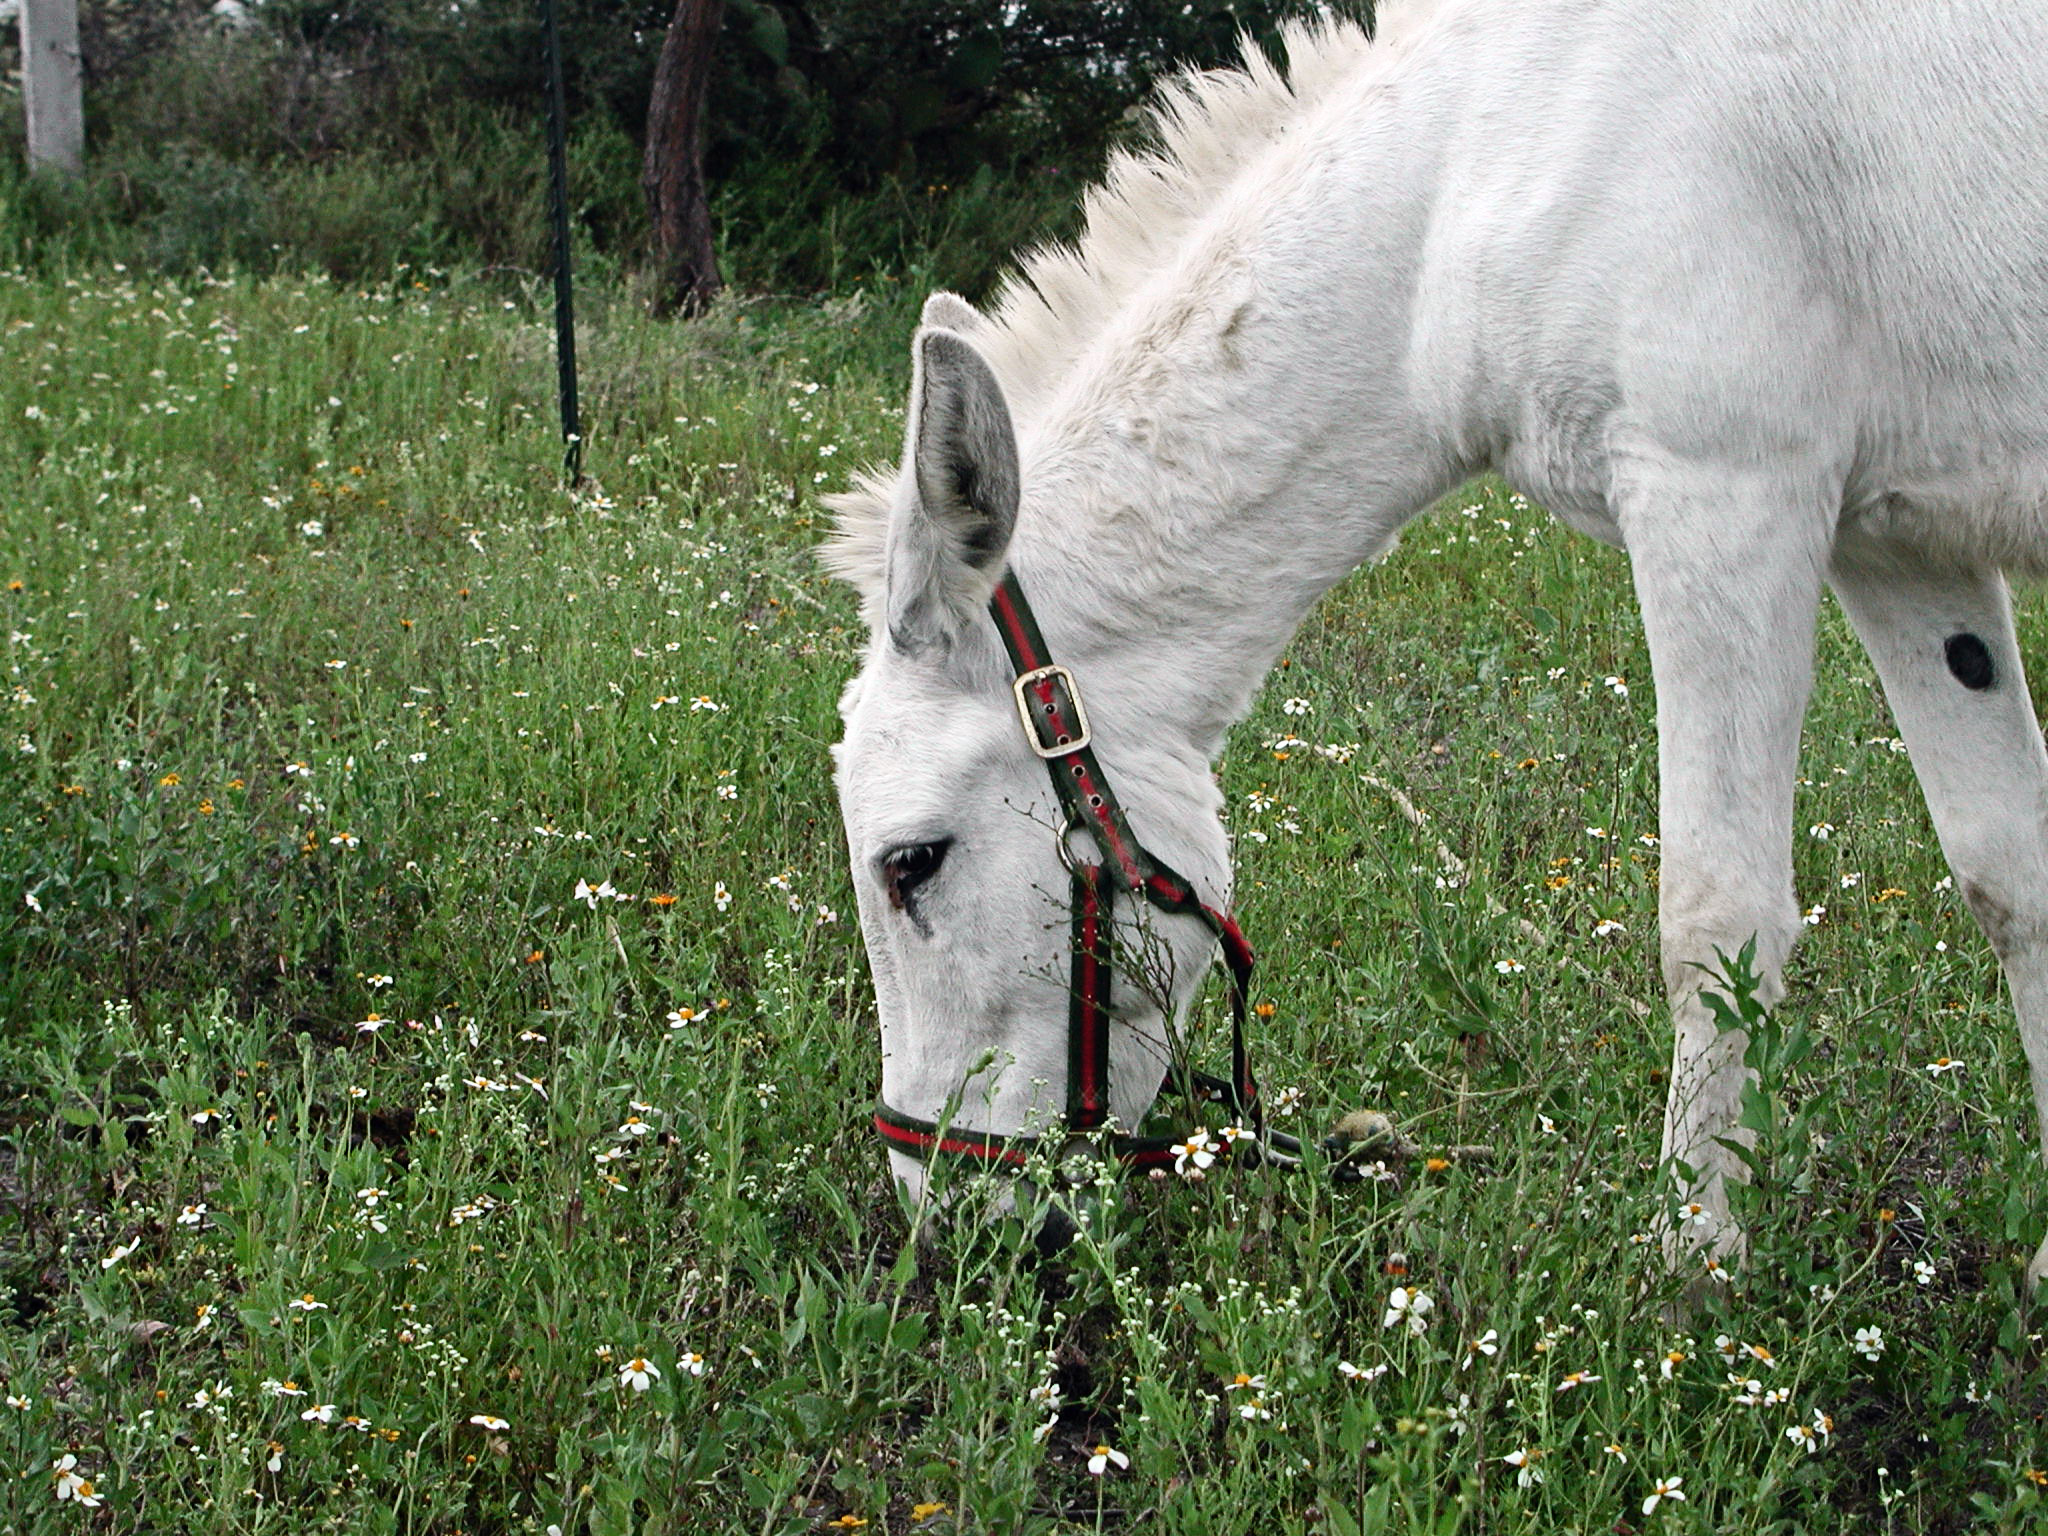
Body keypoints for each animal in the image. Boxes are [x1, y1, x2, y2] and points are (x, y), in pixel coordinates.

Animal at [824, 0, 2048, 1285]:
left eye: (910, 864)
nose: (946, 1231)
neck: (1471, 173)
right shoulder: (1895, 542)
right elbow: (2008, 875)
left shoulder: (1723, 495)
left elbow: (1717, 916)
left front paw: (1689, 1262)